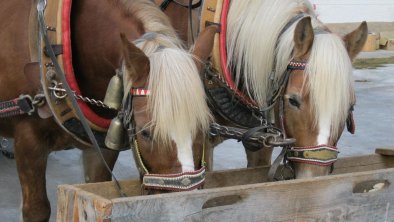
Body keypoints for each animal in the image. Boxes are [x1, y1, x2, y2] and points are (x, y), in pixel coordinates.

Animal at [0, 0, 214, 220]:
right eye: (145, 133)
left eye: (205, 128)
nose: (185, 206)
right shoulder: (28, 141)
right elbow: (36, 210)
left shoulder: (102, 150)